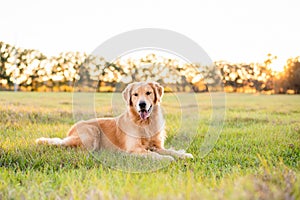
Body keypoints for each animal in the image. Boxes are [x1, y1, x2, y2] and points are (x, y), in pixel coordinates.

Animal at [35, 81, 195, 161]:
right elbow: (156, 155)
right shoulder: (135, 148)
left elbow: (170, 150)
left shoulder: (156, 145)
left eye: (148, 93)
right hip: (92, 133)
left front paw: (184, 155)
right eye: (135, 95)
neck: (144, 123)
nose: (142, 104)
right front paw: (168, 159)